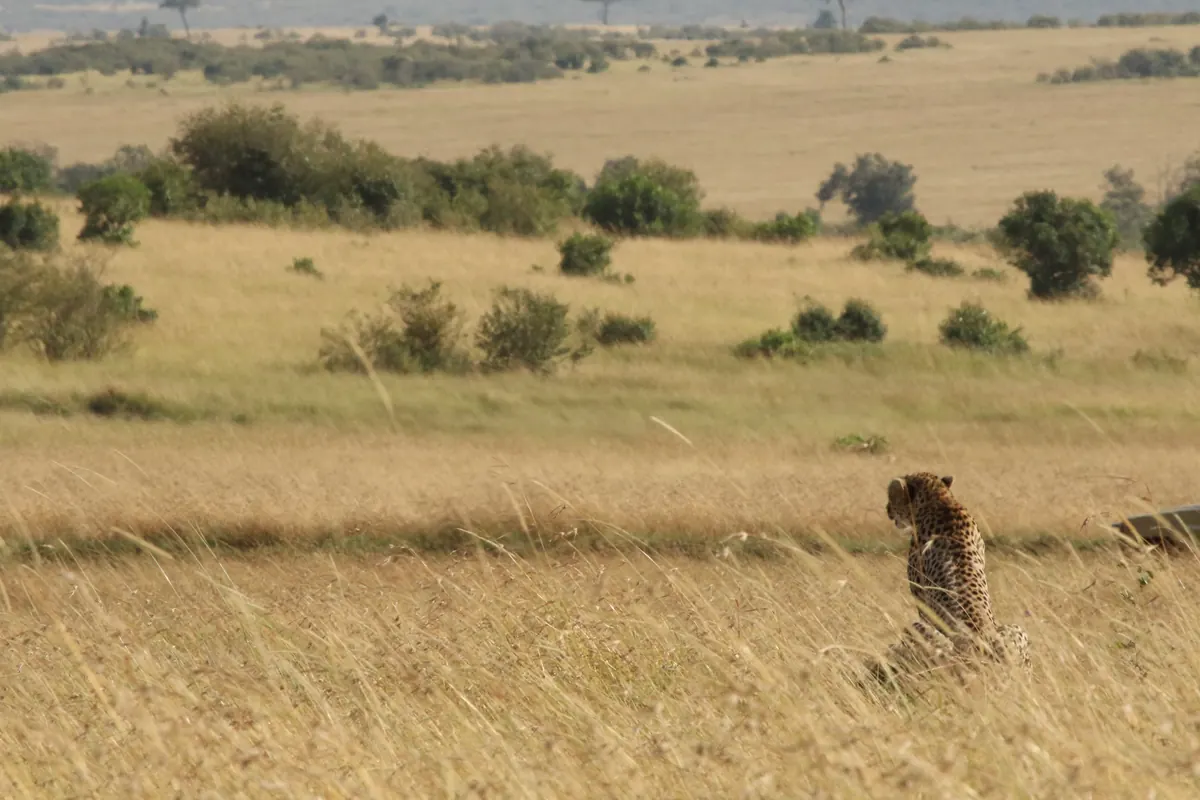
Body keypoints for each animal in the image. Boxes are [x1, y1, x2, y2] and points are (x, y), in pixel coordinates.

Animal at [878, 471, 1030, 679]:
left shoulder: (922, 602)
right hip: (1016, 631)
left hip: (920, 631)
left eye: (892, 497)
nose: (887, 509)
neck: (939, 499)